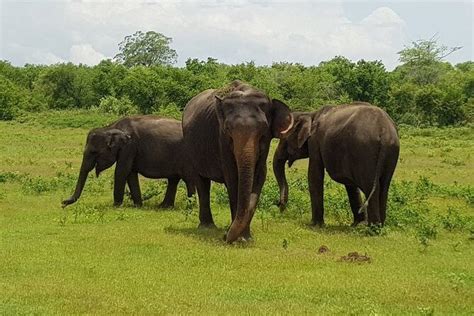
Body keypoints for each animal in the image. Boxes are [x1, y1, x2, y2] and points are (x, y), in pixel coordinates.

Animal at [62, 115, 194, 209]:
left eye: (94, 152)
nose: (62, 203)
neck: (111, 127)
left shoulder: (129, 147)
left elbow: (121, 171)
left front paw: (115, 206)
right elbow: (130, 174)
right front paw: (138, 205)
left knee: (189, 179)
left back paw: (190, 207)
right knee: (173, 179)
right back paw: (164, 207)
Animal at [183, 80, 294, 243]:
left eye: (264, 129)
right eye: (228, 128)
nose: (224, 236)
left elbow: (258, 178)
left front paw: (245, 238)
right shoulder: (221, 139)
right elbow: (233, 178)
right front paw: (238, 238)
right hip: (191, 149)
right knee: (201, 182)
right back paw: (207, 227)